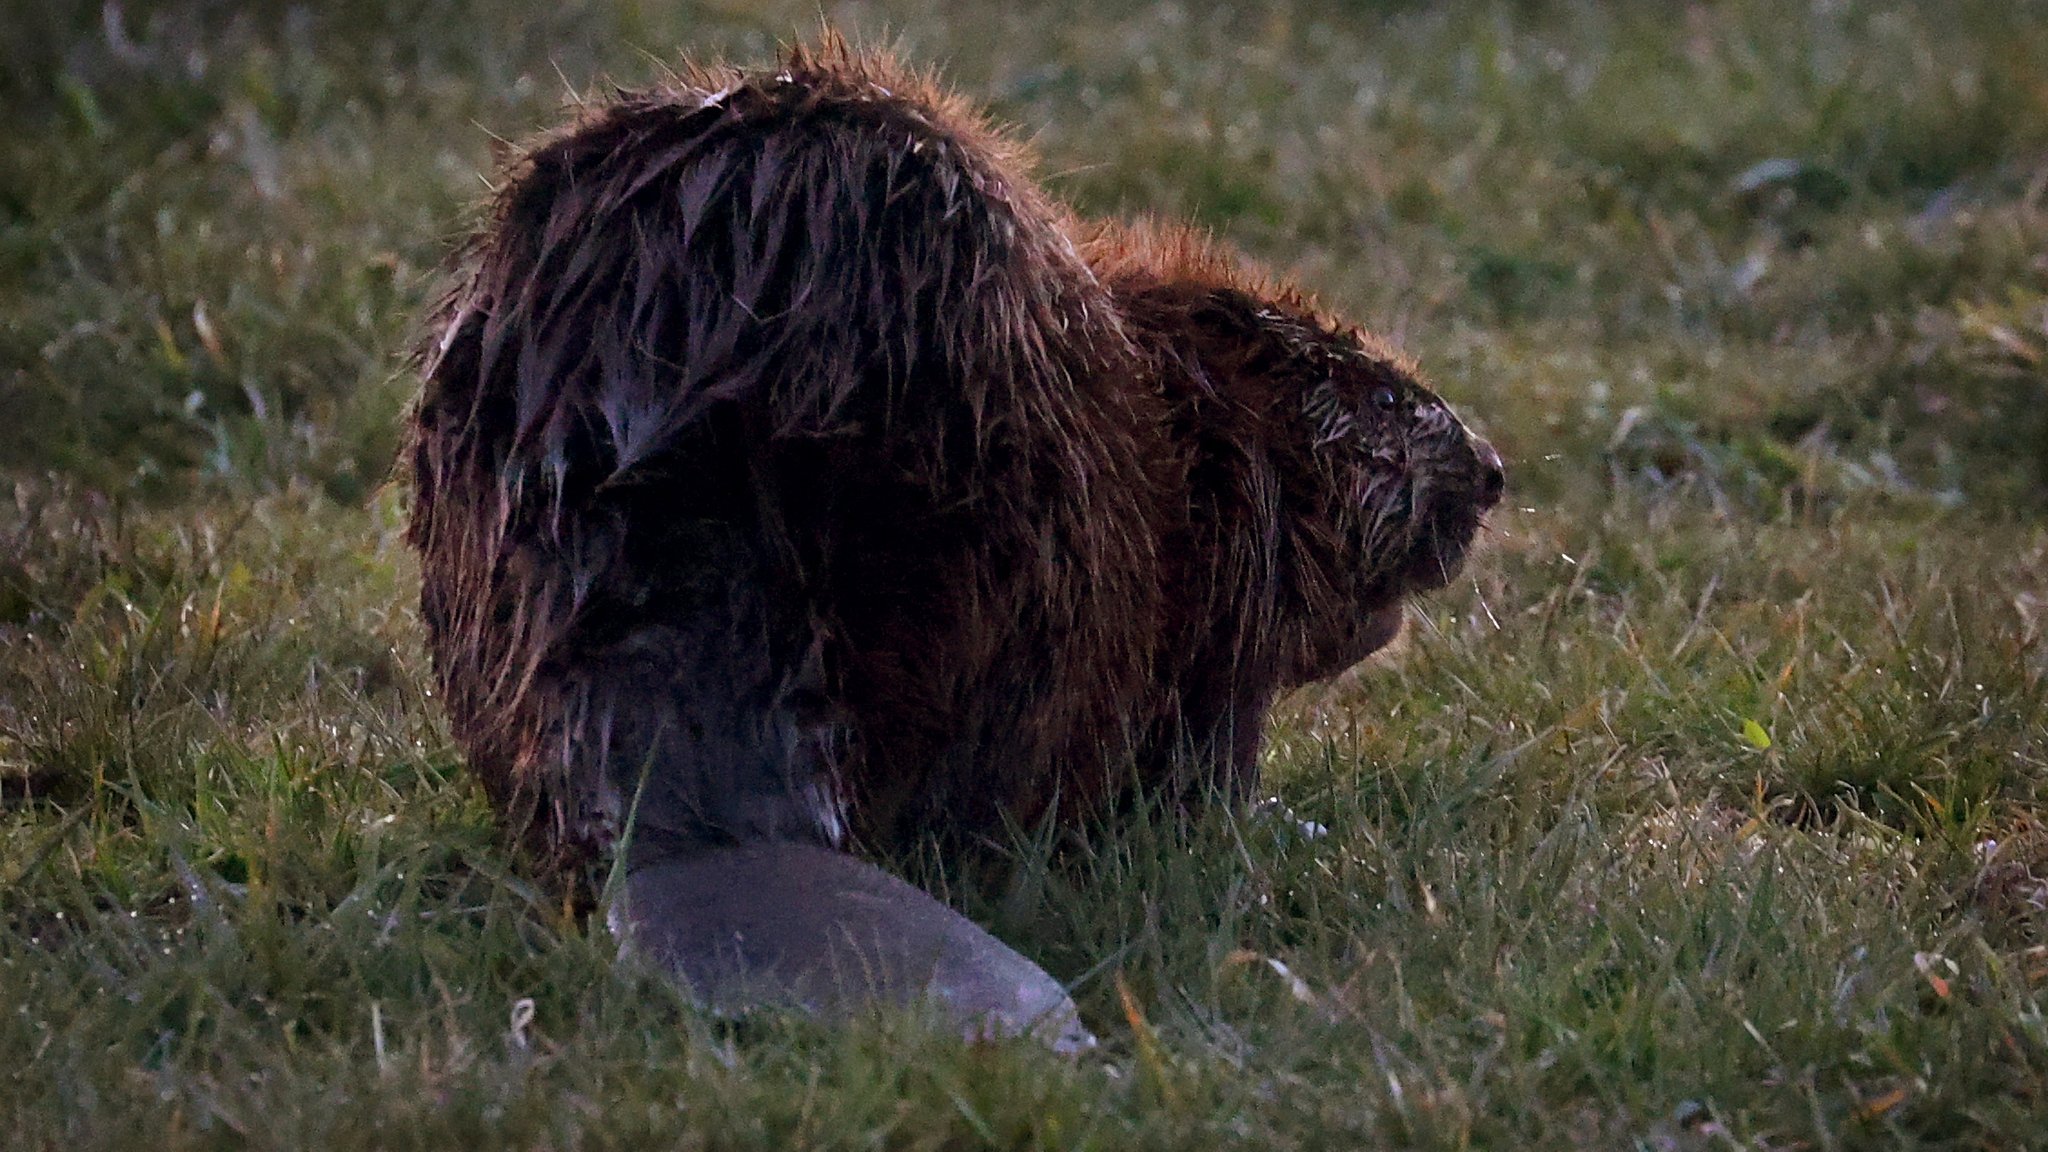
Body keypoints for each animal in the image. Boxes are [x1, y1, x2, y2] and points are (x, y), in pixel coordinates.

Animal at [411, 40, 1507, 1045]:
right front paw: (1307, 823)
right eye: (1385, 400)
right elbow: (1204, 774)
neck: (1185, 415)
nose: (1494, 472)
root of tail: (694, 831)